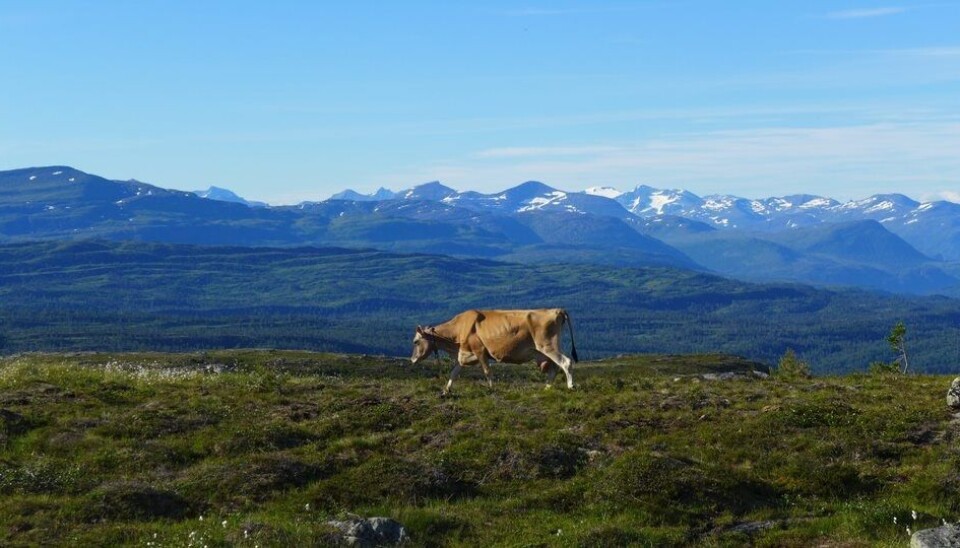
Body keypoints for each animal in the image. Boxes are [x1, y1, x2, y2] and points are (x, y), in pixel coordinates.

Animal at [406, 308, 572, 394]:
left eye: (415, 341)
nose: (412, 360)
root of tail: (556, 310)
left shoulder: (479, 350)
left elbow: (487, 371)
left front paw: (492, 388)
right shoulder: (464, 353)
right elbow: (454, 372)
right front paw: (446, 390)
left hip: (547, 345)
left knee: (566, 362)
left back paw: (570, 386)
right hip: (545, 350)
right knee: (554, 367)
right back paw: (547, 387)